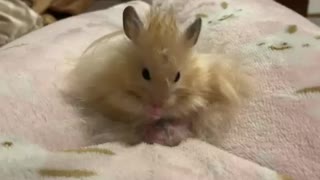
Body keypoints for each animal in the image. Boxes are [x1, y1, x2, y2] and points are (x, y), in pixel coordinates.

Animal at [65, 5, 254, 146]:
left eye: (177, 76)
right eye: (145, 73)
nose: (157, 107)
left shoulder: (199, 91)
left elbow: (187, 104)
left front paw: (161, 113)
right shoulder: (111, 92)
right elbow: (129, 103)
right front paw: (151, 113)